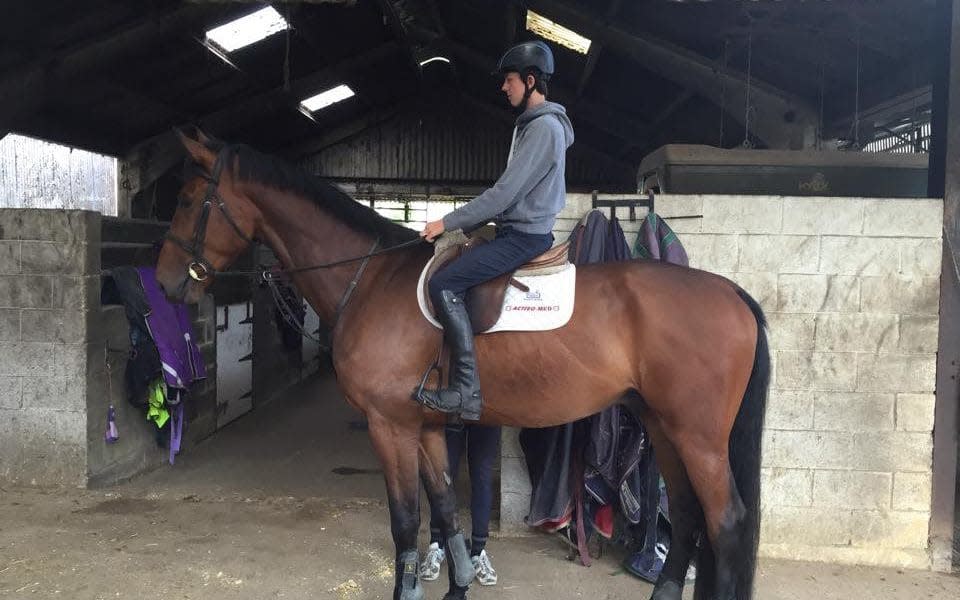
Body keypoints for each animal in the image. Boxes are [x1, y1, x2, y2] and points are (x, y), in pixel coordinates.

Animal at [158, 129, 772, 600]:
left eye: (187, 201)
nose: (164, 285)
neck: (373, 279)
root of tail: (732, 293)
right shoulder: (427, 429)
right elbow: (446, 512)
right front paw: (456, 586)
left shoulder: (390, 427)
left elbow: (406, 521)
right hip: (662, 426)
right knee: (689, 514)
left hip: (697, 437)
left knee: (726, 523)